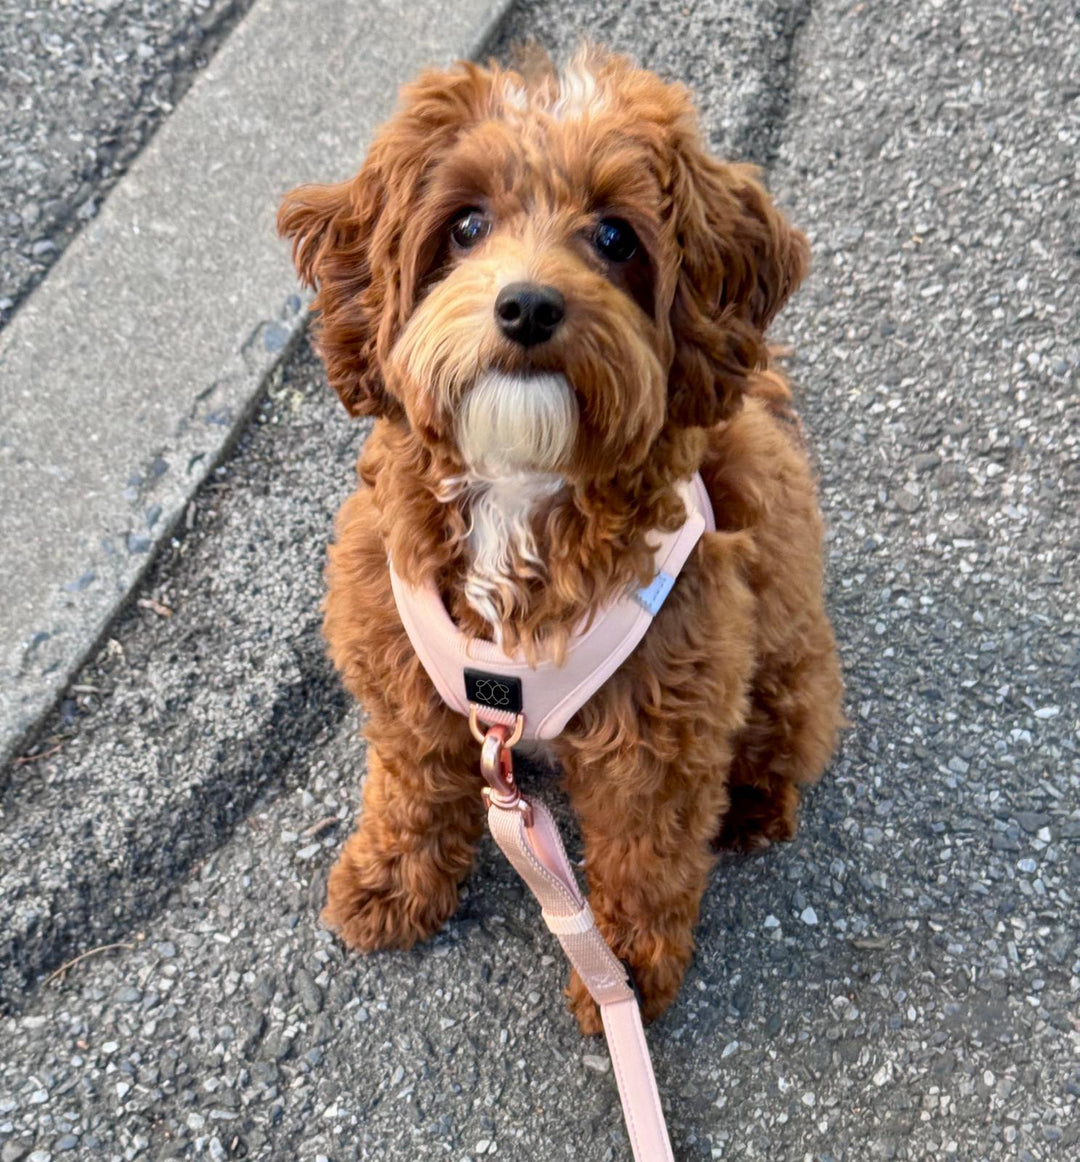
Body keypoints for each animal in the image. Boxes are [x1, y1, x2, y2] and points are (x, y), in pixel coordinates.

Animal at [277, 45, 841, 1036]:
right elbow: (413, 790)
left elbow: (646, 853)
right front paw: (390, 887)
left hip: (777, 629)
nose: (529, 306)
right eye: (465, 225)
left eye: (615, 237)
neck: (519, 479)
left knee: (787, 727)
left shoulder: (662, 722)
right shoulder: (402, 672)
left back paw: (753, 804)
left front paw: (626, 974)